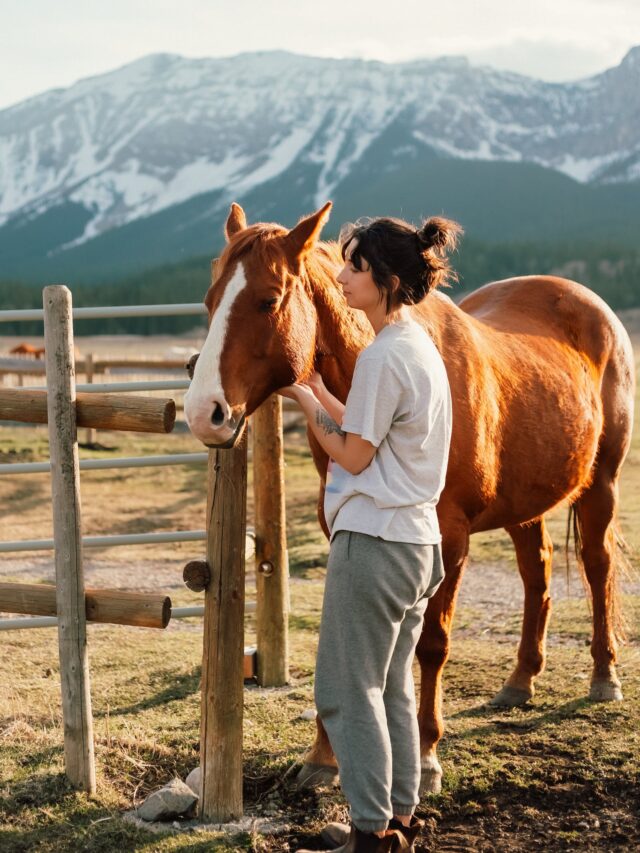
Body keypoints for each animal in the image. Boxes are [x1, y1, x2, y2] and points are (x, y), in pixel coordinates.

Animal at [184, 202, 635, 794]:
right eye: (210, 300)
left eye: (268, 300)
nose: (203, 413)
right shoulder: (343, 530)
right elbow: (342, 639)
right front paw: (324, 757)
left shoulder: (450, 537)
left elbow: (431, 644)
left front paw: (424, 756)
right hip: (525, 503)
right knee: (536, 573)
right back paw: (520, 681)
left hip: (600, 483)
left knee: (597, 567)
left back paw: (604, 676)